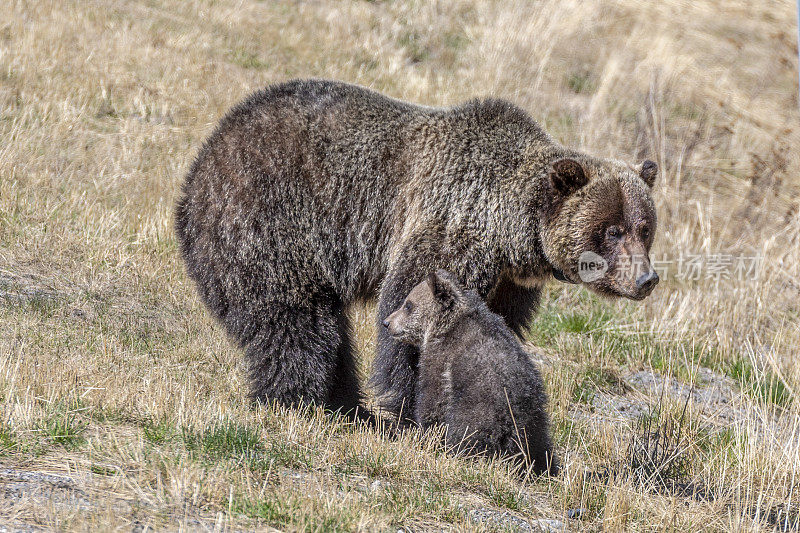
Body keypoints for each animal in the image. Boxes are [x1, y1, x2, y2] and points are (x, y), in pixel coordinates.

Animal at [173, 78, 656, 416]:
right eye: (612, 230)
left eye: (645, 227)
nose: (646, 279)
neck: (512, 235)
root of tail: (197, 168)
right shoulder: (451, 224)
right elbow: (413, 309)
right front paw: (409, 407)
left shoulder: (508, 284)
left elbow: (496, 328)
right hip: (270, 223)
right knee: (293, 321)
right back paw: (298, 400)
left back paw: (345, 404)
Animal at [384, 270, 560, 474]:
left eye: (408, 304)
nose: (387, 322)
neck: (445, 326)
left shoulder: (442, 361)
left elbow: (432, 400)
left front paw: (422, 433)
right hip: (536, 420)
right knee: (540, 448)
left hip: (479, 409)